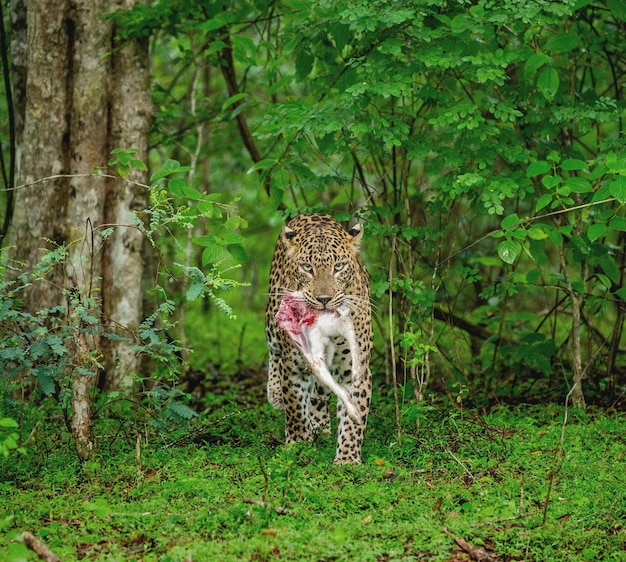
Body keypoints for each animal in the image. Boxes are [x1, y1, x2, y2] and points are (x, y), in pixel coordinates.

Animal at [264, 212, 370, 462]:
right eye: (307, 267)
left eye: (338, 266)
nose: (324, 299)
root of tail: (312, 214)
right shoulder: (293, 365)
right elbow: (295, 406)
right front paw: (299, 446)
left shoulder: (355, 368)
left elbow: (353, 416)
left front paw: (347, 458)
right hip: (273, 318)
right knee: (273, 351)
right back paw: (275, 393)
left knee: (319, 394)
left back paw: (320, 427)